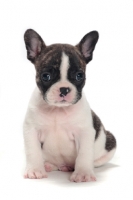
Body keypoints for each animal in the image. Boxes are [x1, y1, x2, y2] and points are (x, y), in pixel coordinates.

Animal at [23, 28, 116, 182]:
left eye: (79, 75)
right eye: (46, 76)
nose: (64, 89)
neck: (57, 110)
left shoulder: (84, 132)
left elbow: (84, 153)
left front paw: (83, 173)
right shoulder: (31, 130)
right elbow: (33, 151)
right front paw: (35, 170)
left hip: (110, 140)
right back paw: (48, 165)